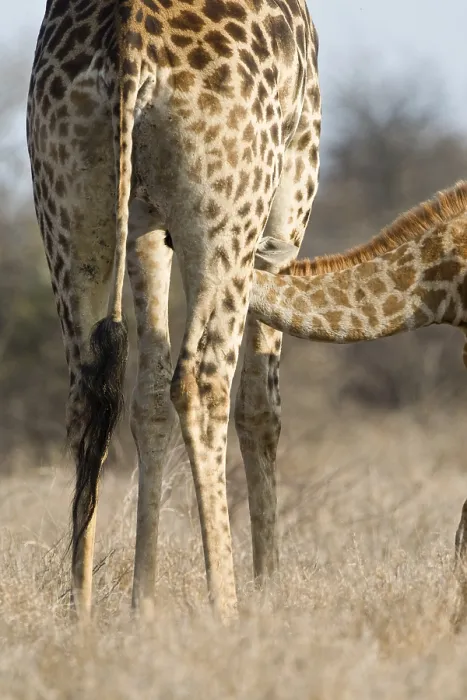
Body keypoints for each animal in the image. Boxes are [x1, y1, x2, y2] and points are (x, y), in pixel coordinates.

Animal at [27, 0, 321, 619]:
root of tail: (129, 45)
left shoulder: (145, 221)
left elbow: (148, 398)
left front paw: (144, 604)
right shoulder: (295, 181)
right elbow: (261, 403)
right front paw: (269, 590)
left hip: (69, 209)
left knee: (89, 394)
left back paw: (81, 612)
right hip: (228, 219)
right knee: (203, 383)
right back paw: (226, 606)